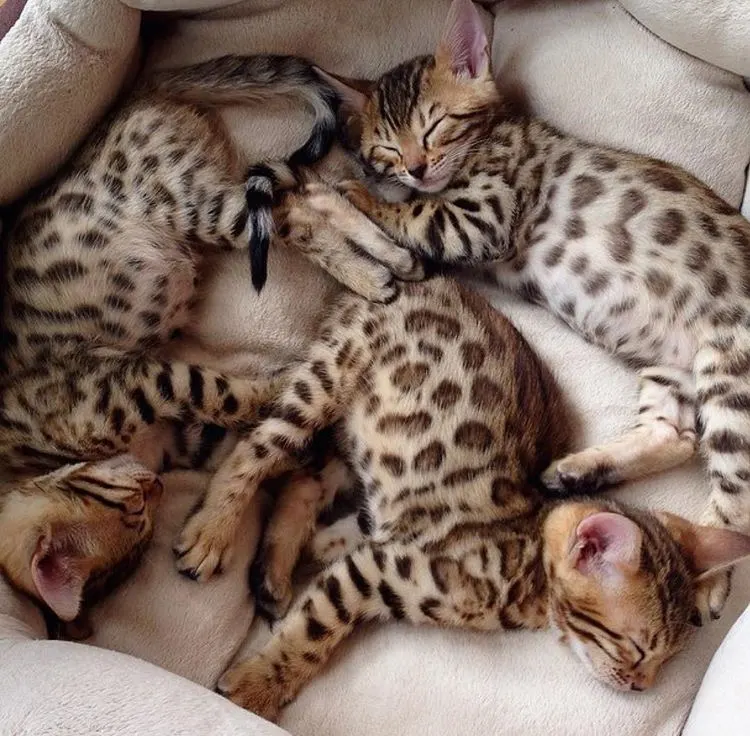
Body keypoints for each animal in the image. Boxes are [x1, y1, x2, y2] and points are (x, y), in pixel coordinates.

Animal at [294, 0, 750, 620]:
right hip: (671, 365)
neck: (492, 136)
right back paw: (579, 472)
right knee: (677, 435)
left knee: (738, 501)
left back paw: (709, 579)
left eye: (435, 124)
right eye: (387, 147)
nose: (416, 167)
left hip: (731, 374)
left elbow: (399, 211)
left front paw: (334, 191)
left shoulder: (477, 216)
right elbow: (399, 223)